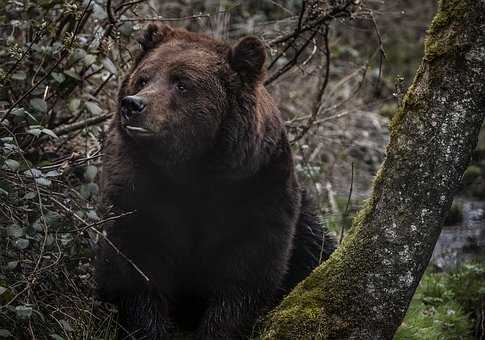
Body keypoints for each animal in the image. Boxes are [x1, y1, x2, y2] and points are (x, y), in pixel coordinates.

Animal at [96, 24, 334, 340]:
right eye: (143, 78)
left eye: (181, 83)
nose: (133, 105)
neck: (193, 168)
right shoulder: (138, 186)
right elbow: (135, 260)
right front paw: (152, 328)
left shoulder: (256, 186)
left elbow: (247, 271)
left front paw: (216, 329)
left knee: (316, 249)